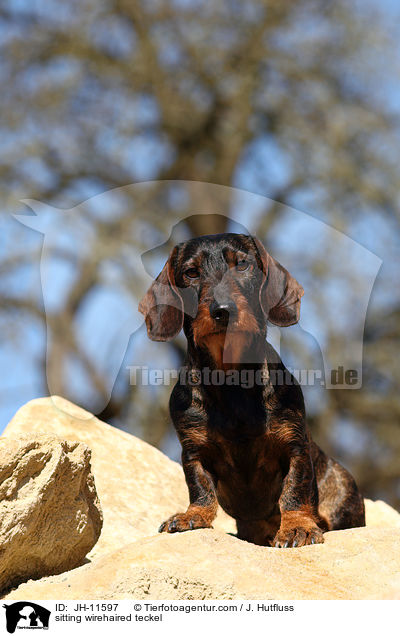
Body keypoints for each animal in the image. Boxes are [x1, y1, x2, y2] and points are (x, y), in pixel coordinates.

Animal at [138, 234, 366, 548]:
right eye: (191, 273)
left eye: (242, 264)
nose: (223, 310)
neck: (233, 382)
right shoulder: (193, 450)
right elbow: (199, 487)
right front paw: (192, 515)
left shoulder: (294, 446)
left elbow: (295, 491)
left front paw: (298, 527)